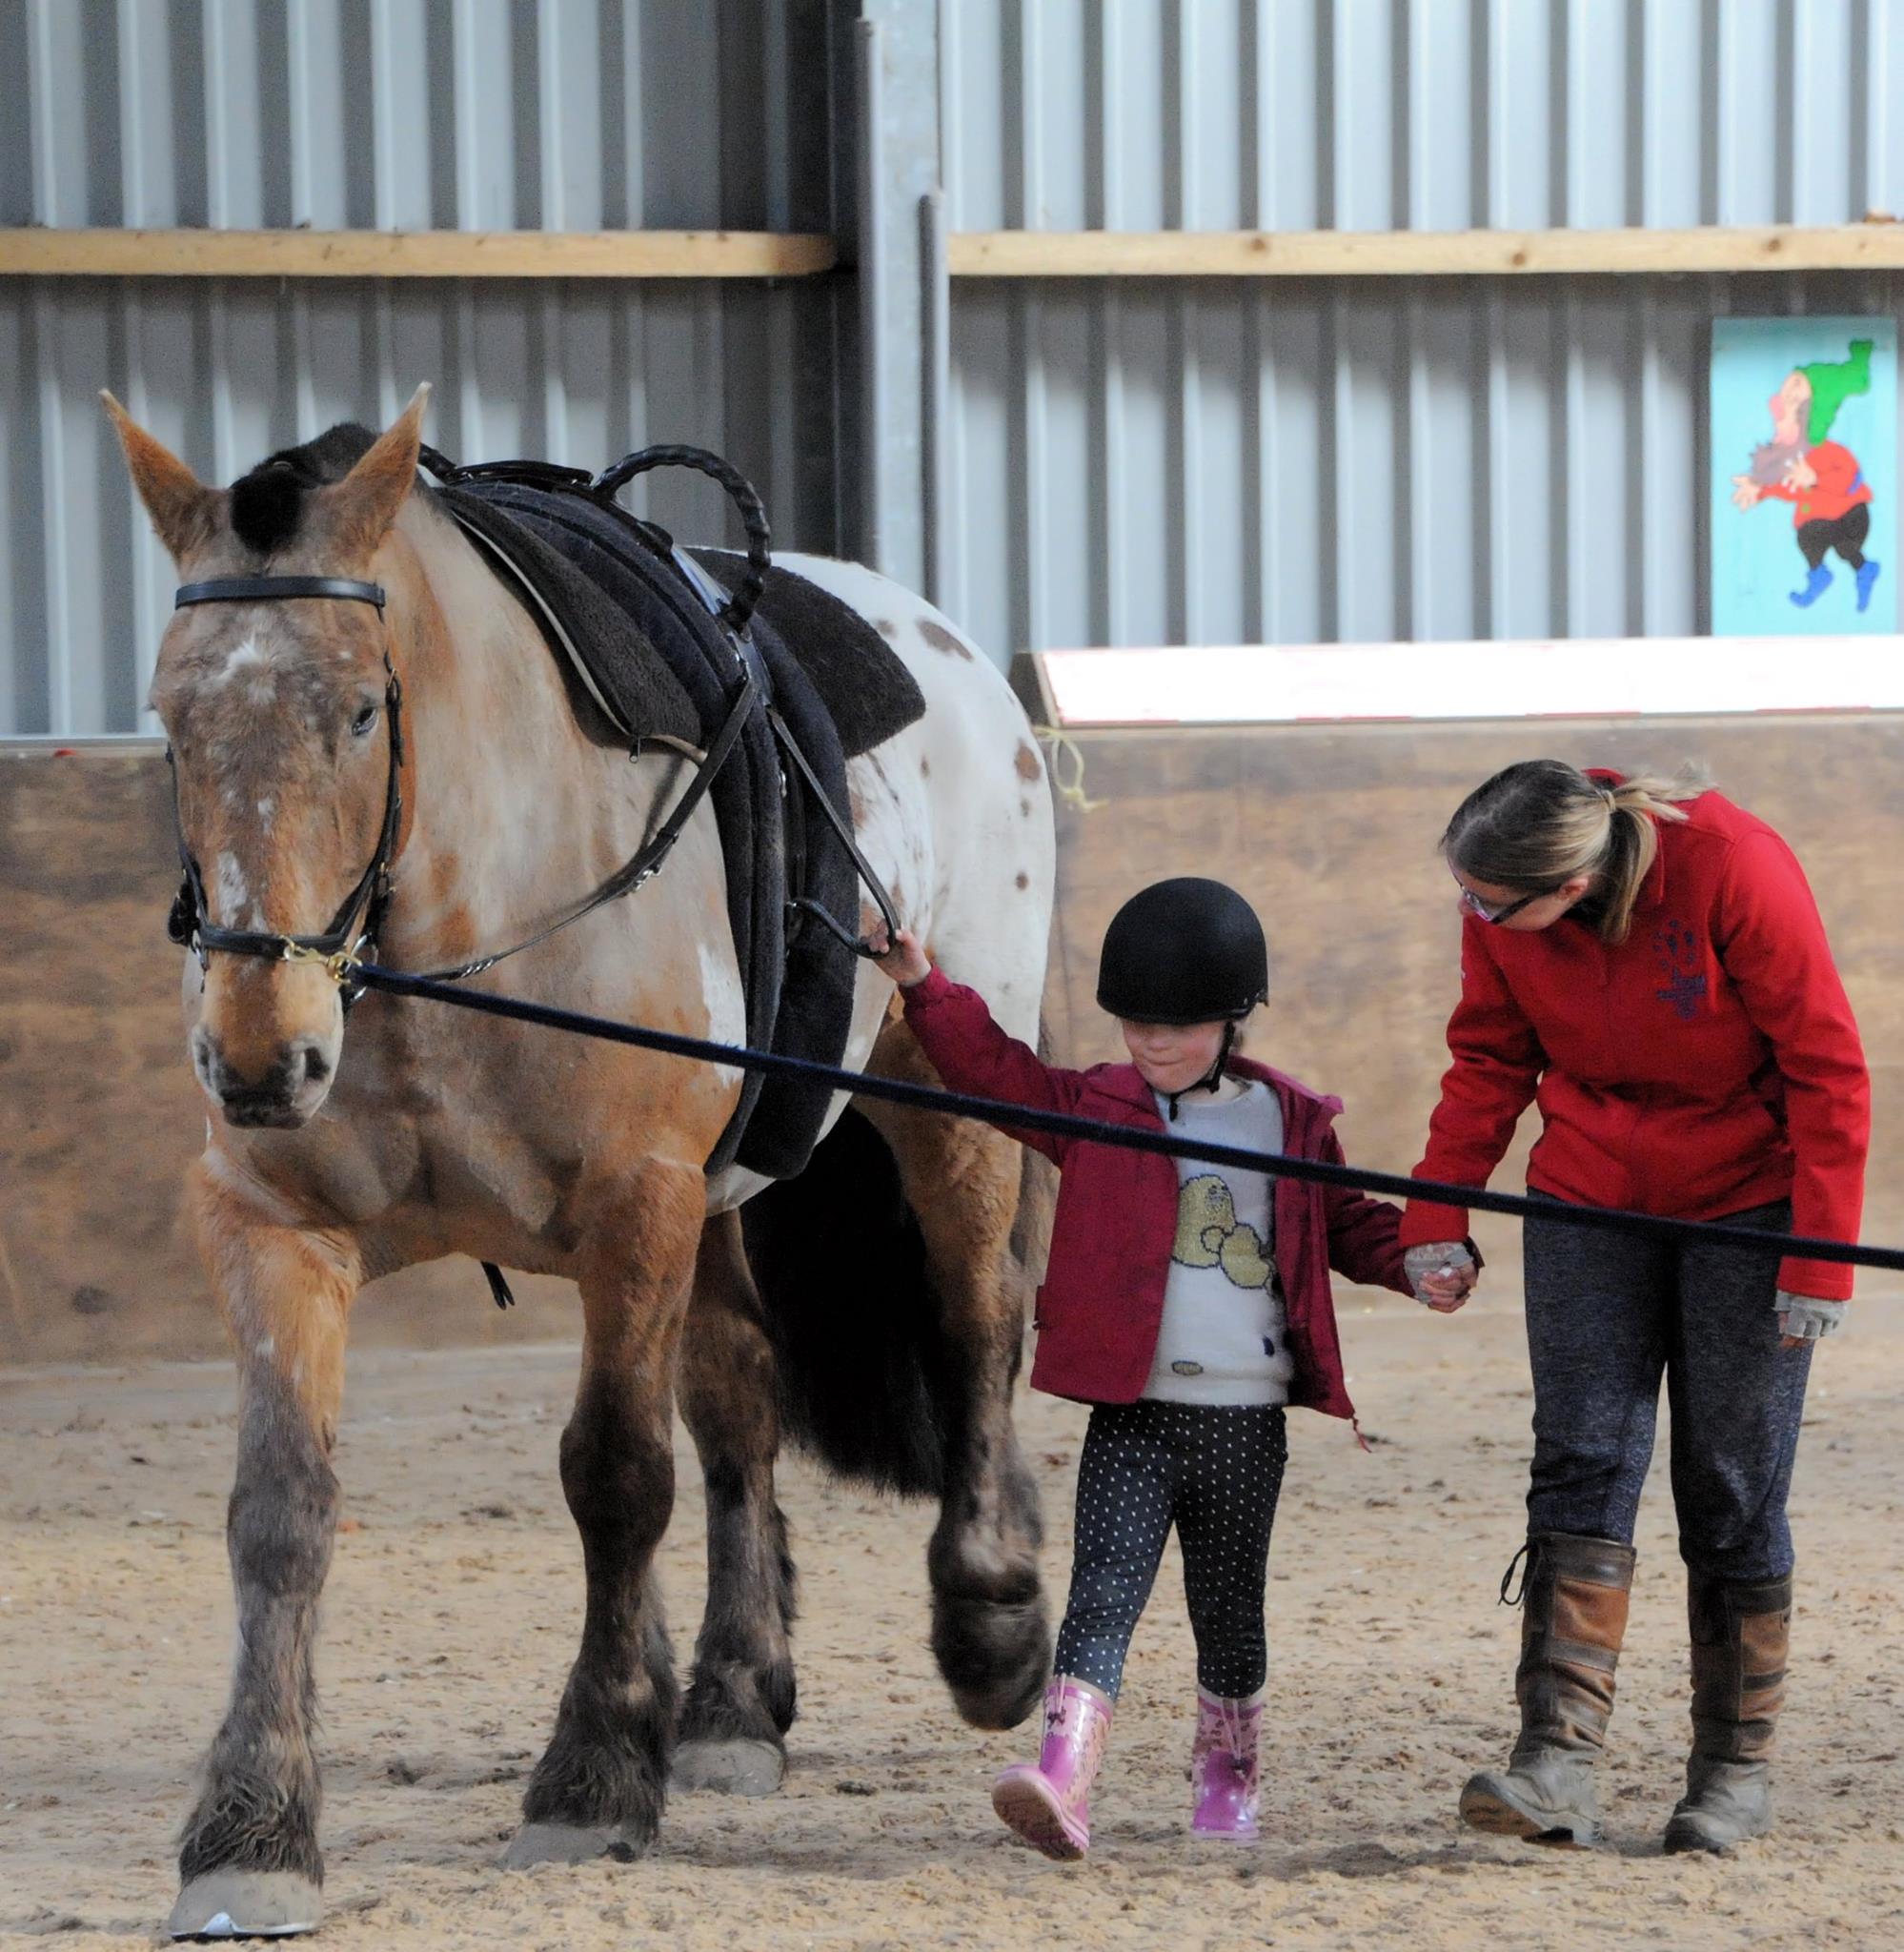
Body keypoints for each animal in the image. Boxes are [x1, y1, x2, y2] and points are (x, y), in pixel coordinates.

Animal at [104, 384, 1053, 1936]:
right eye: (172, 723)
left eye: (358, 708)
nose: (257, 1055)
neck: (449, 919)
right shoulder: (276, 1224)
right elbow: (279, 1511)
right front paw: (251, 1831)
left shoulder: (634, 1199)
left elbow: (615, 1473)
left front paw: (594, 1774)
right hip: (724, 1196)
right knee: (739, 1392)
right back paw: (730, 1698)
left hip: (943, 1089)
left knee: (977, 1323)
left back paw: (990, 1620)